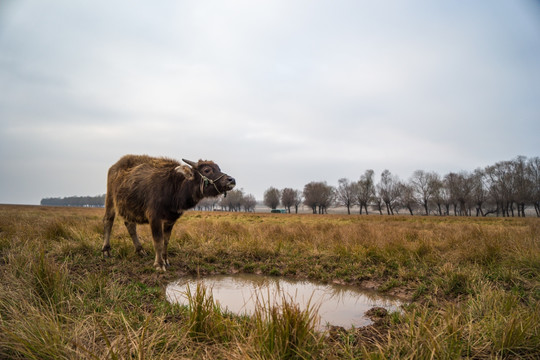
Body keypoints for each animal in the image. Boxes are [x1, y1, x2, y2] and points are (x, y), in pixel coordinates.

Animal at [102, 154, 236, 270]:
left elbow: (166, 241)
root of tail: (114, 167)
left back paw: (140, 250)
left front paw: (166, 260)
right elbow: (158, 241)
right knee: (108, 220)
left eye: (218, 168)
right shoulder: (154, 217)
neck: (175, 187)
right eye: (207, 170)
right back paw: (106, 250)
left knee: (130, 225)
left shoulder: (170, 219)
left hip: (128, 208)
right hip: (110, 199)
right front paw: (159, 264)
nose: (231, 180)